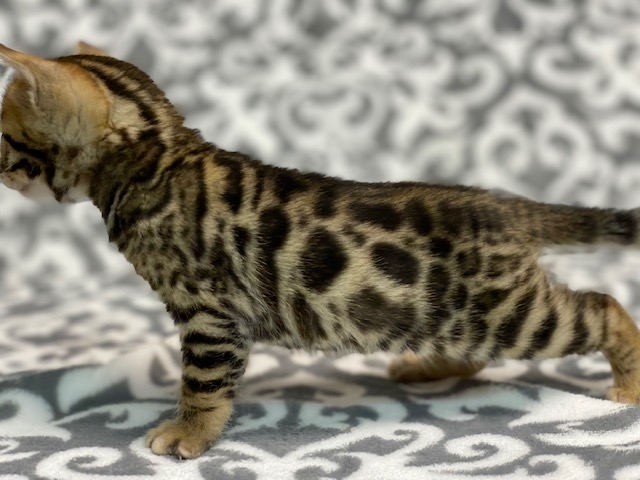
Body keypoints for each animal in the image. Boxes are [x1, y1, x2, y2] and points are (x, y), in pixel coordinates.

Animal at [1, 42, 640, 459]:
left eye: (6, 135)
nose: (1, 168)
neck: (156, 159)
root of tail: (507, 208)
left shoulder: (210, 313)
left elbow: (203, 383)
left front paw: (189, 434)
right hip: (453, 316)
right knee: (475, 349)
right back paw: (428, 367)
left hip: (510, 315)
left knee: (604, 307)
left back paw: (627, 386)